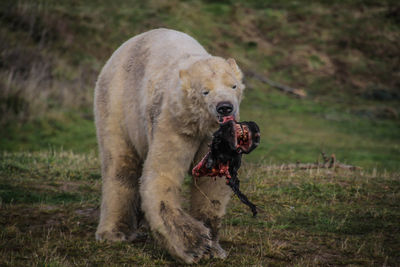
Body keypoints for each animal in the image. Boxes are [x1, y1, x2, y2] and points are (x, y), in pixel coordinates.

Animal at [94, 28, 244, 264]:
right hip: (117, 102)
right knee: (119, 163)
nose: (225, 107)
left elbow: (212, 180)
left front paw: (215, 247)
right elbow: (162, 174)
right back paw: (115, 232)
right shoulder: (174, 122)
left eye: (233, 85)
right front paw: (194, 244)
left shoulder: (215, 137)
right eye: (205, 91)